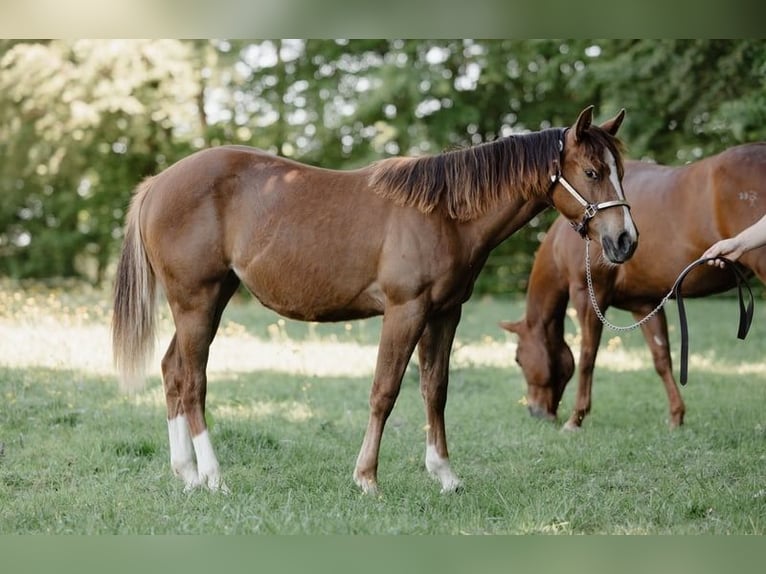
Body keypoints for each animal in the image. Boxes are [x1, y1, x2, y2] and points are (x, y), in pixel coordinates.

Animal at [112, 105, 637, 495]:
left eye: (619, 171)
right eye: (592, 171)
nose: (625, 241)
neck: (443, 213)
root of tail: (157, 184)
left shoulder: (445, 314)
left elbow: (435, 390)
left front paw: (445, 475)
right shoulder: (406, 311)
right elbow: (384, 391)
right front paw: (366, 478)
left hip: (208, 301)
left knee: (173, 372)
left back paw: (186, 474)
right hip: (195, 303)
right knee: (194, 383)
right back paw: (214, 476)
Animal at [501, 142, 766, 430]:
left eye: (518, 358)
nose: (536, 411)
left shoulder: (588, 296)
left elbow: (587, 356)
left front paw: (575, 419)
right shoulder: (645, 304)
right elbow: (661, 358)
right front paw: (676, 417)